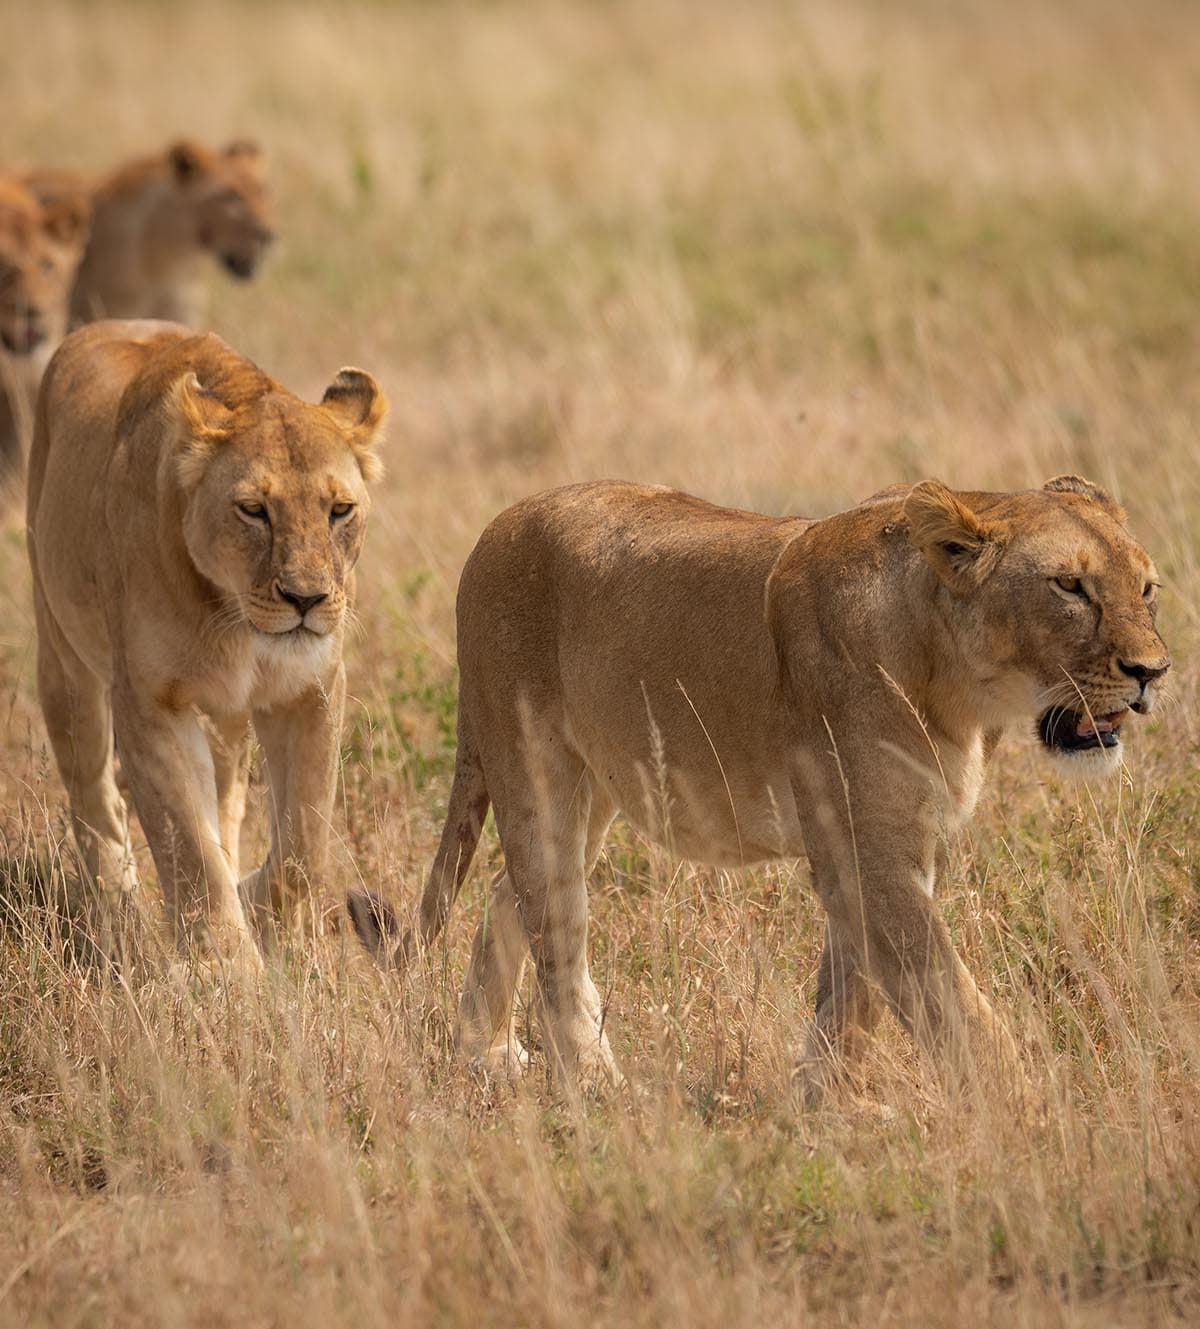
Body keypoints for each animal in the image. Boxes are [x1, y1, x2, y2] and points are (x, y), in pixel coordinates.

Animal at [28, 319, 385, 968]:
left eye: (340, 510)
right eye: (253, 510)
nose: (306, 599)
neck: (238, 624)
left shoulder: (311, 690)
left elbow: (303, 839)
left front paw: (264, 916)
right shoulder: (150, 704)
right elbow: (191, 853)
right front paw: (227, 974)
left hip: (224, 721)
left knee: (225, 802)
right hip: (65, 658)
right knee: (94, 797)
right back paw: (116, 913)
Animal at [349, 477, 1169, 1102]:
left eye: (1148, 588)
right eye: (1070, 586)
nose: (1153, 672)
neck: (957, 684)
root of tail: (500, 522)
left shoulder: (888, 846)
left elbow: (852, 994)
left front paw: (825, 1104)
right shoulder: (868, 851)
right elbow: (953, 1001)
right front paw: (1035, 1120)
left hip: (593, 790)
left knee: (505, 893)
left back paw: (485, 1053)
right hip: (536, 773)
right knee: (553, 926)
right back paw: (597, 1088)